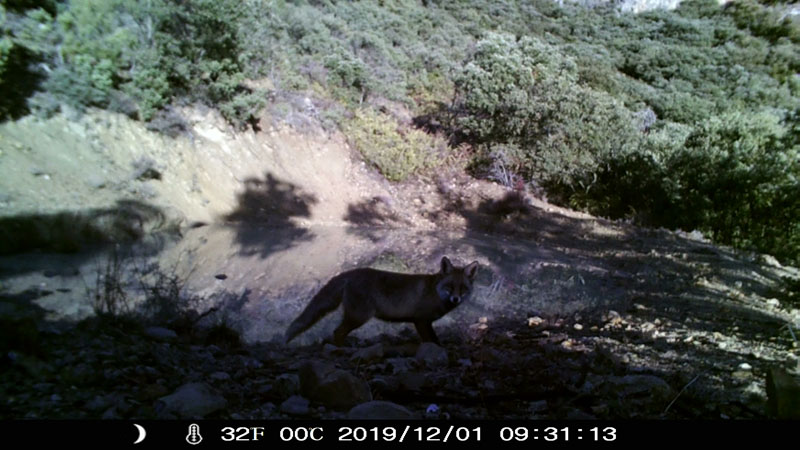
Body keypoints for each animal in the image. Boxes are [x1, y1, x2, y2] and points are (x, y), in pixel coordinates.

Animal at [284, 256, 478, 344]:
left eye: (463, 288)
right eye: (450, 287)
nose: (455, 299)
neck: (435, 292)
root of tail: (350, 273)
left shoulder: (423, 322)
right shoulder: (421, 321)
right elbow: (433, 341)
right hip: (359, 317)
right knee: (337, 332)